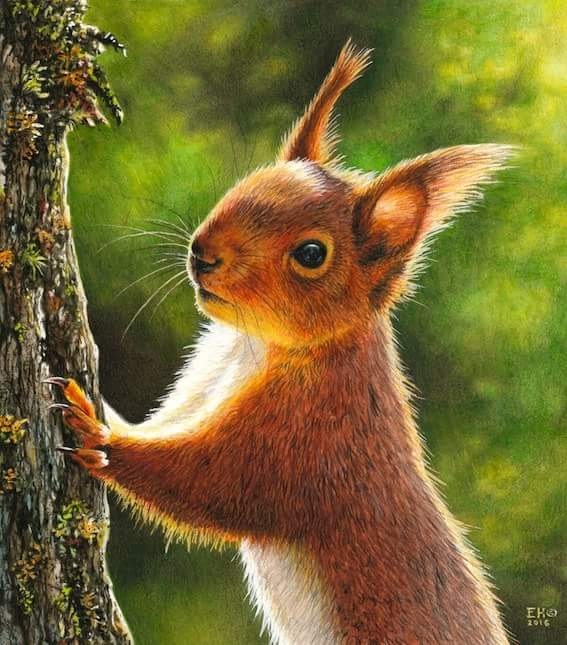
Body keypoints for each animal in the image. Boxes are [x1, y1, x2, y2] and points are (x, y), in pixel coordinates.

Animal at [47, 41, 513, 644]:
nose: (203, 253)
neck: (259, 346)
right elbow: (161, 425)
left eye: (312, 254)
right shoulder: (202, 379)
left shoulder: (306, 434)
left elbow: (207, 483)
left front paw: (94, 430)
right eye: (247, 182)